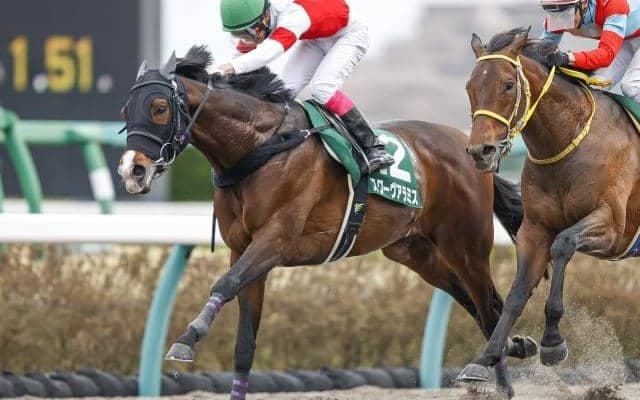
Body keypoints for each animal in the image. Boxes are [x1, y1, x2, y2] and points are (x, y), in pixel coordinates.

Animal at [118, 46, 536, 399]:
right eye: (125, 111)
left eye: (159, 107)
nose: (132, 171)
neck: (260, 148)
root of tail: (469, 147)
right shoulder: (244, 250)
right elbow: (244, 344)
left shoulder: (274, 241)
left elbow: (224, 283)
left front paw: (187, 339)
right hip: (416, 252)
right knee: (473, 303)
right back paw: (515, 348)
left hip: (465, 244)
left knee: (489, 307)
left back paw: (499, 379)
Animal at [460, 27, 640, 390]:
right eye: (470, 87)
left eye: (508, 84)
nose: (480, 151)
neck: (568, 142)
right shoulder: (534, 230)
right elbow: (517, 293)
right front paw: (485, 358)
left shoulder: (613, 228)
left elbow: (563, 244)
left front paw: (553, 342)